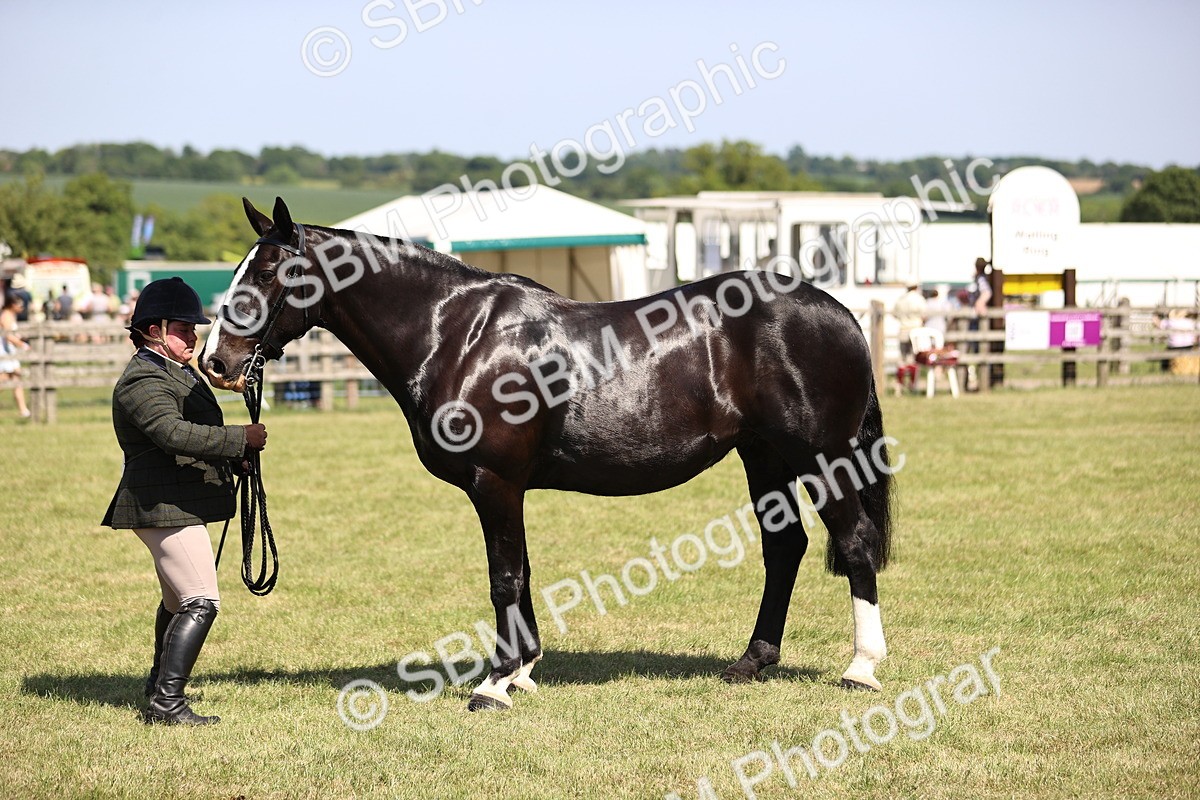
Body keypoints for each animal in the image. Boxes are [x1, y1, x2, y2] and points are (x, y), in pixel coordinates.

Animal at [201, 197, 894, 712]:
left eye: (268, 273)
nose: (216, 361)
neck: (457, 335)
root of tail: (842, 313)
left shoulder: (495, 482)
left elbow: (505, 576)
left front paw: (494, 683)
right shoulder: (506, 488)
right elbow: (522, 573)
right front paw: (523, 672)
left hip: (820, 457)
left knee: (854, 543)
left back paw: (861, 667)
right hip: (764, 457)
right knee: (785, 547)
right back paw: (752, 661)